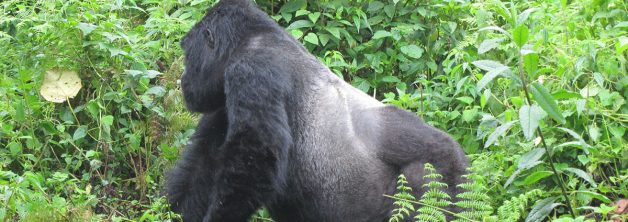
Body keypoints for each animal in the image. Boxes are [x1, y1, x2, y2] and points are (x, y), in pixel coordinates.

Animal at [164, 0, 468, 222]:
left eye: (187, 56)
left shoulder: (253, 71)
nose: (183, 82)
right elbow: (203, 163)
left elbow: (255, 156)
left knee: (423, 174)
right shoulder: (224, 102)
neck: (256, 38)